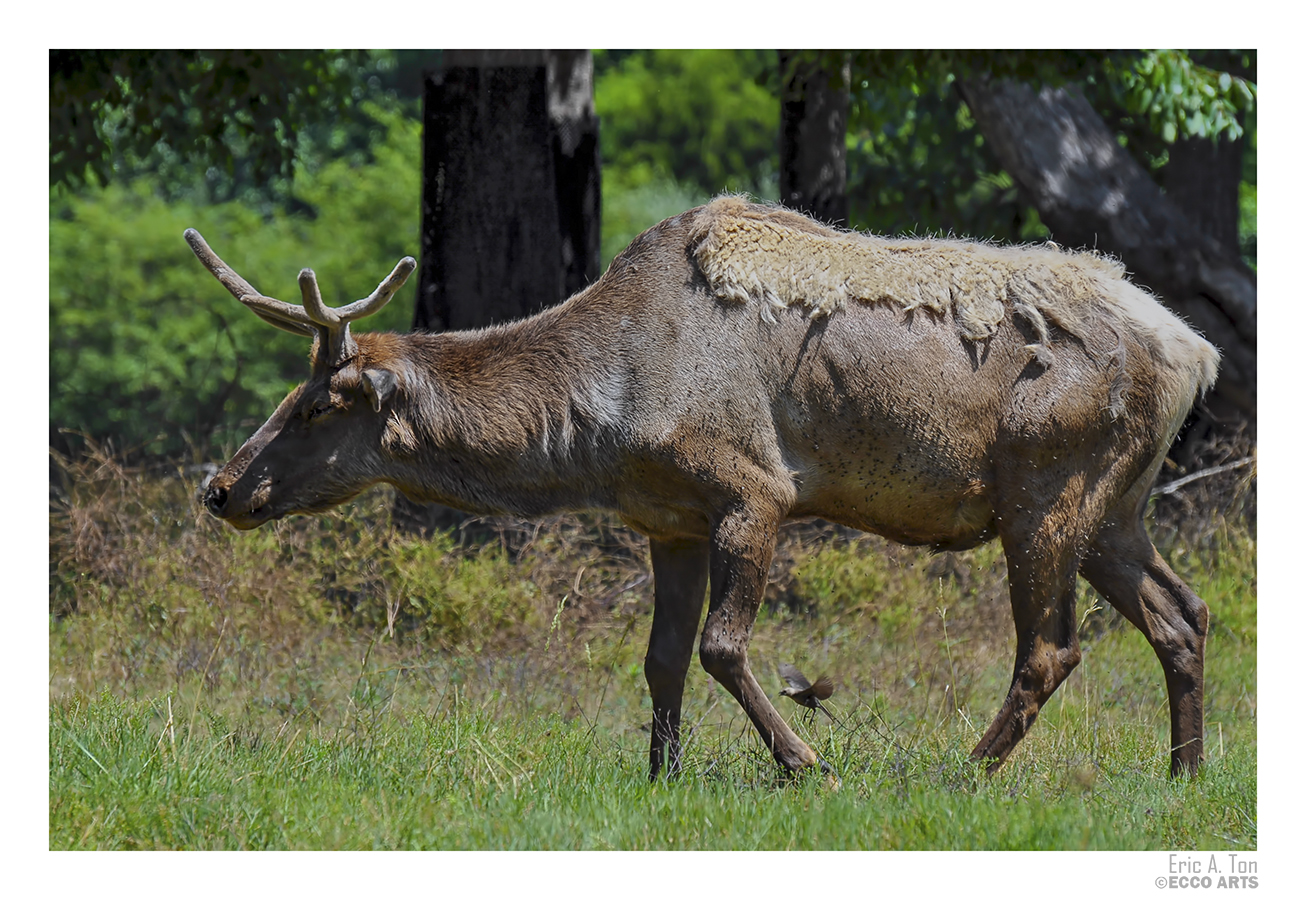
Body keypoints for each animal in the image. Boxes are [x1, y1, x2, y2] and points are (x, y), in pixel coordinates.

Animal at [189, 195, 1217, 778]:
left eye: (320, 403)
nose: (222, 489)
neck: (603, 421)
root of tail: (1196, 352)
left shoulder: (753, 492)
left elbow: (723, 647)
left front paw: (805, 760)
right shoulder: (668, 519)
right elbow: (662, 660)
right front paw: (662, 776)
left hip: (1046, 489)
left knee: (1050, 649)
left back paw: (963, 772)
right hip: (1116, 509)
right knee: (1184, 615)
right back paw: (1185, 773)